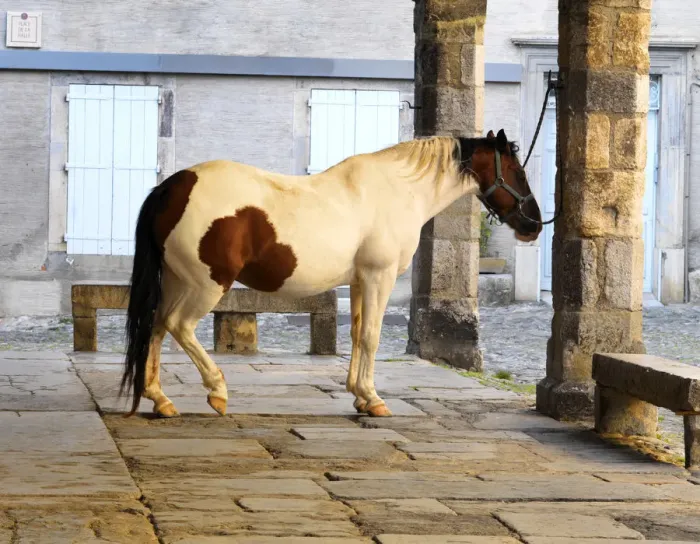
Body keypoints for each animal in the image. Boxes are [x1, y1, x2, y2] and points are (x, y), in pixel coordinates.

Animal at [119, 128, 542, 418]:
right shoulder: (378, 277)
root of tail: (171, 187)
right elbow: (371, 337)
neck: (399, 190)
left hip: (177, 280)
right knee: (179, 326)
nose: (534, 225)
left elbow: (356, 335)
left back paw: (161, 400)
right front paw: (374, 399)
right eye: (518, 172)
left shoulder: (359, 281)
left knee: (156, 327)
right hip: (207, 284)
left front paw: (358, 395)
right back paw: (217, 391)